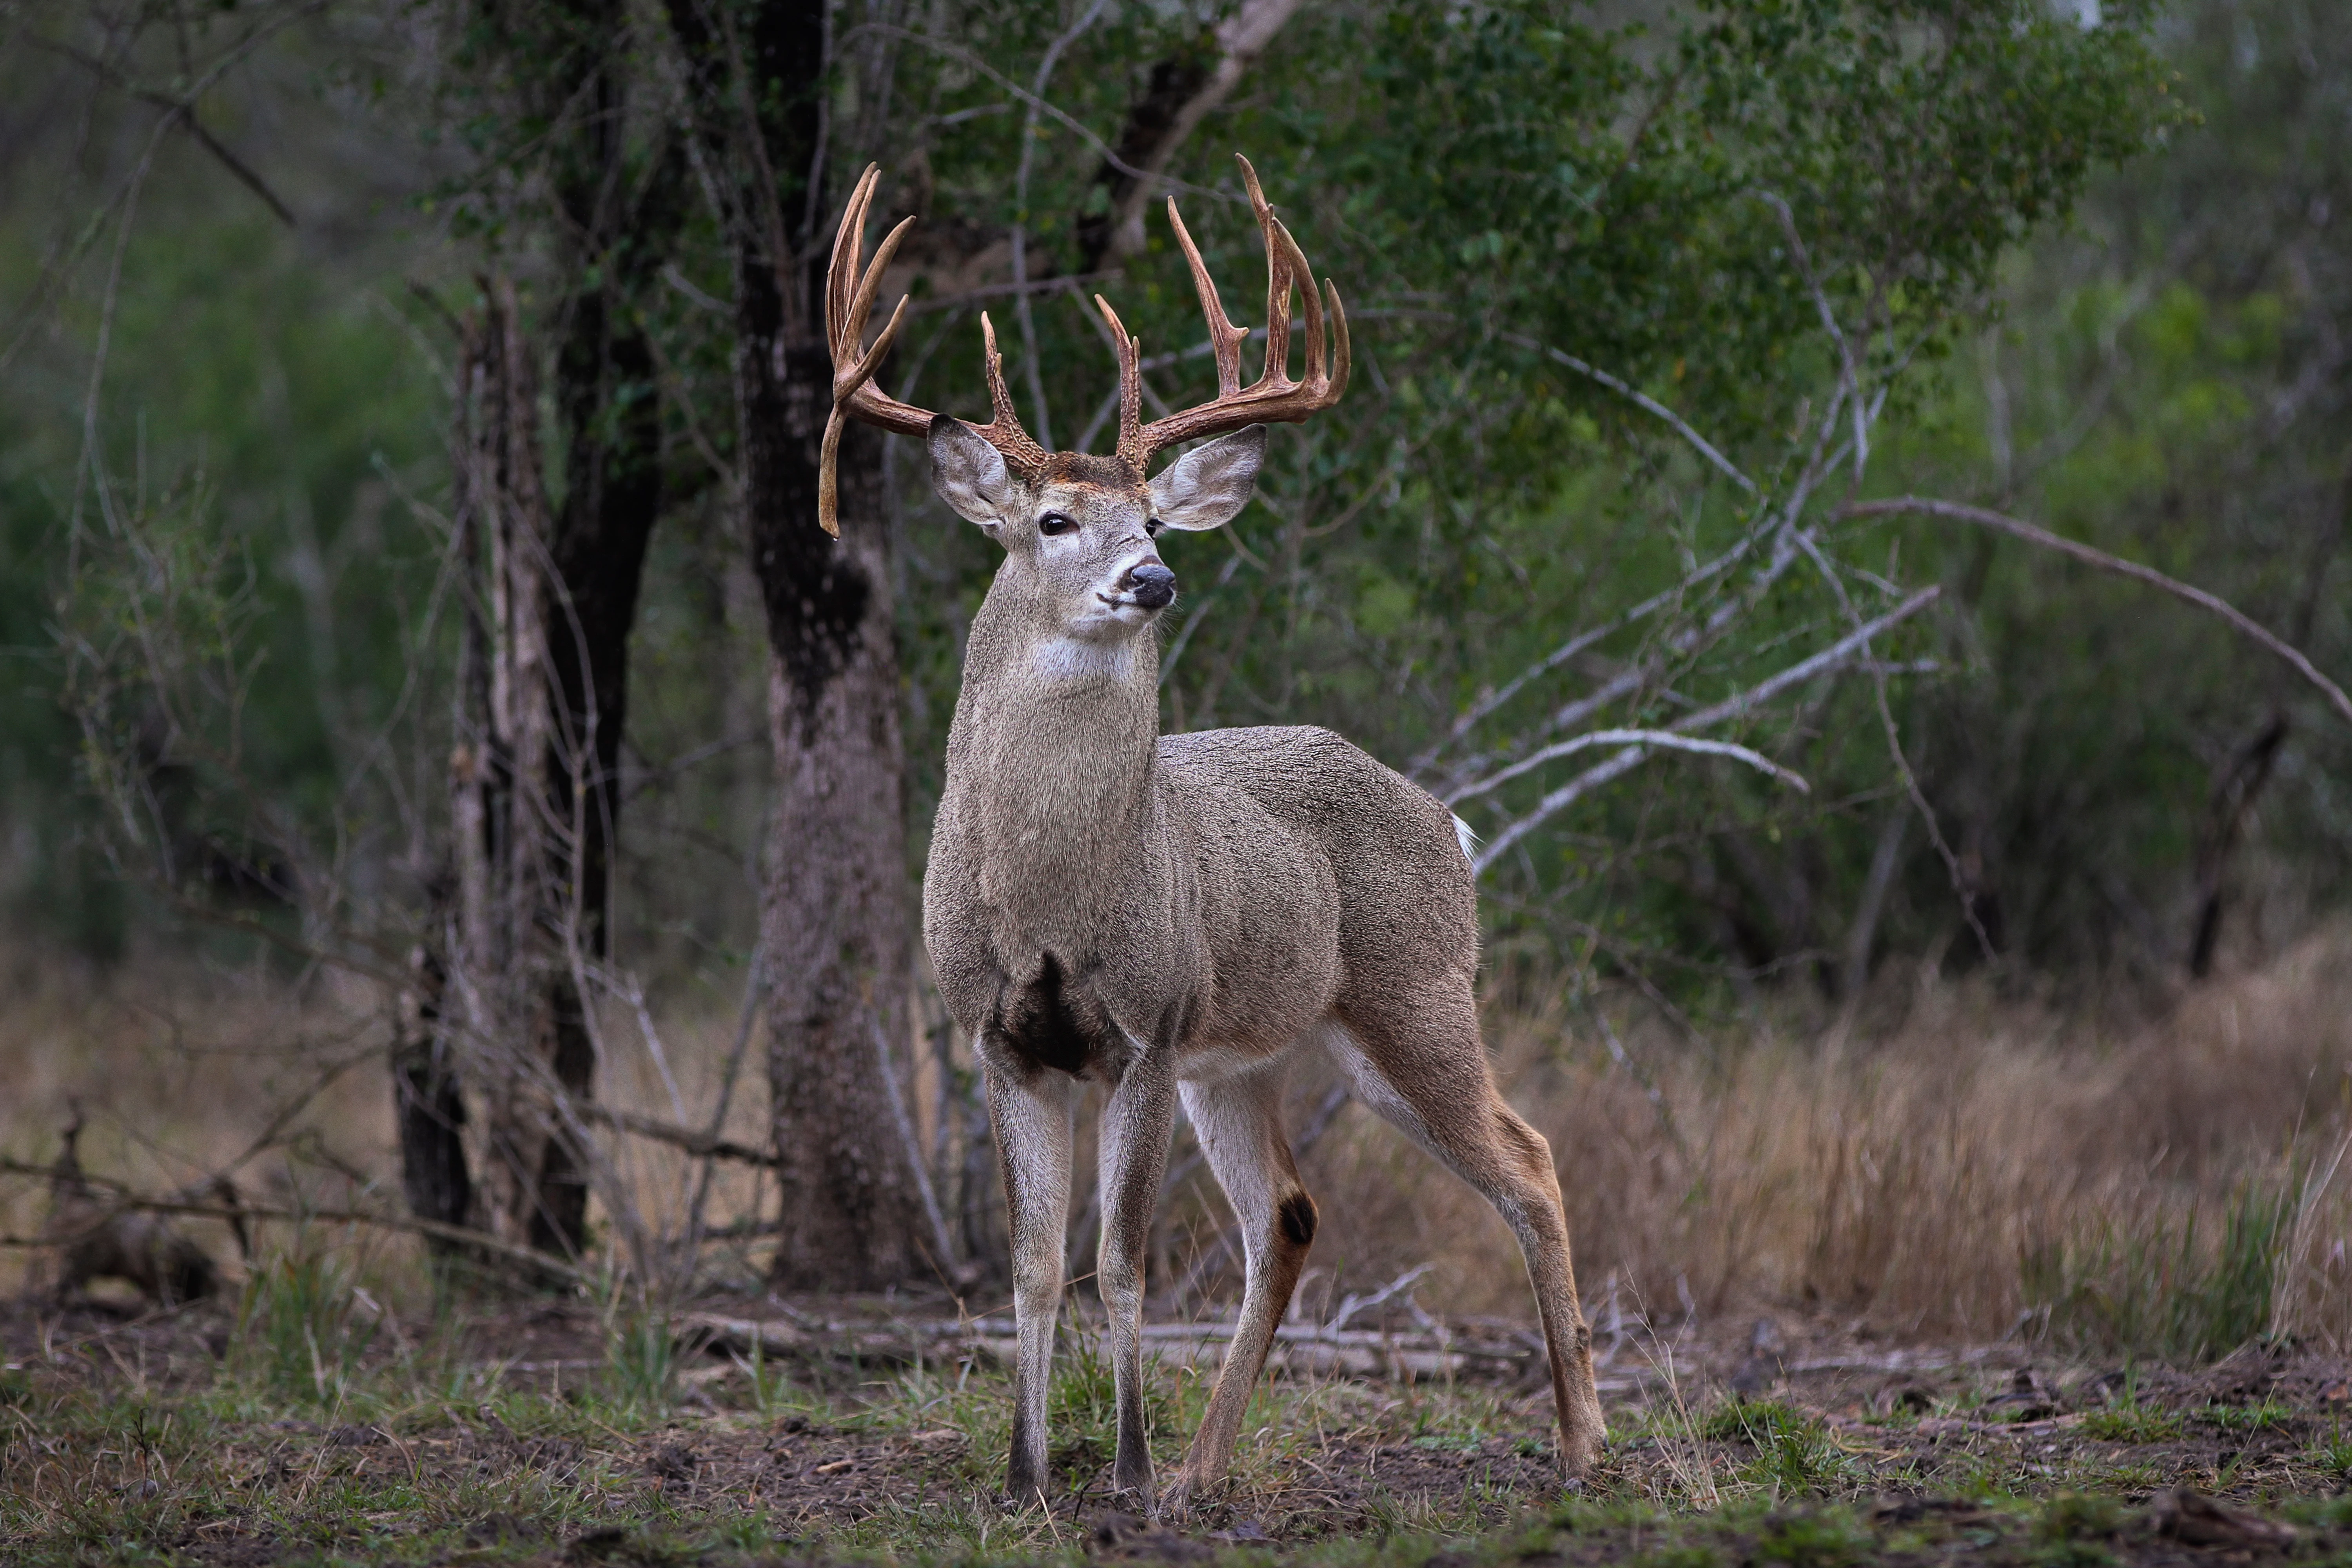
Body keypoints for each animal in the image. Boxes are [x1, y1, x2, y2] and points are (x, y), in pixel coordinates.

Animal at [818, 152, 1609, 1514]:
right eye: (1054, 521)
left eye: (1151, 515)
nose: (1153, 577)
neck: (1047, 901)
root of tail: (1444, 818)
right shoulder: (997, 1037)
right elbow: (1034, 1266)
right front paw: (1027, 1478)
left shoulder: (1143, 1027)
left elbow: (1122, 1261)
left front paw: (1124, 1475)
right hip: (1241, 1056)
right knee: (1286, 1213)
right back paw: (1207, 1467)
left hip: (1408, 994)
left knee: (1530, 1160)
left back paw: (1580, 1443)